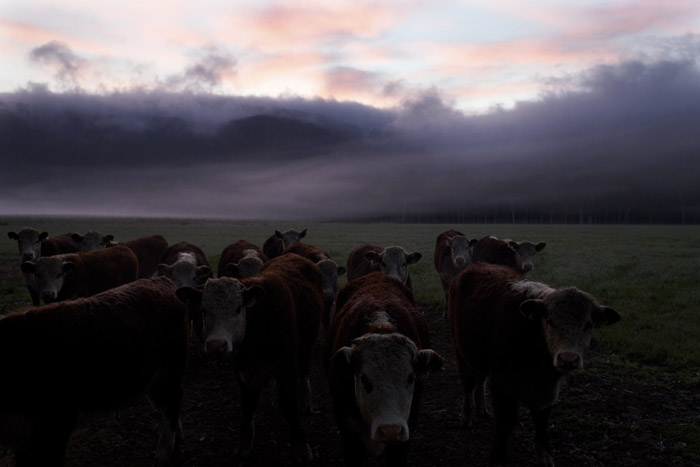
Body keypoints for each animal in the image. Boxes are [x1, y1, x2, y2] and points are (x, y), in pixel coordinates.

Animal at [178, 254, 326, 466]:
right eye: (204, 310)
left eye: (238, 309)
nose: (216, 346)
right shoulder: (241, 370)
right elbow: (248, 405)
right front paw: (244, 443)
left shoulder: (288, 364)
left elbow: (289, 403)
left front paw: (300, 446)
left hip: (307, 343)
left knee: (304, 371)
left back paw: (306, 400)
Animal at [448, 264, 616, 467]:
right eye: (550, 321)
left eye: (588, 324)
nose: (568, 359)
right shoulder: (501, 384)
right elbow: (506, 420)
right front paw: (498, 454)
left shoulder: (548, 391)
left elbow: (541, 422)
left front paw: (545, 457)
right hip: (460, 350)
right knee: (468, 383)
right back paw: (468, 414)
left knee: (480, 379)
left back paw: (482, 407)